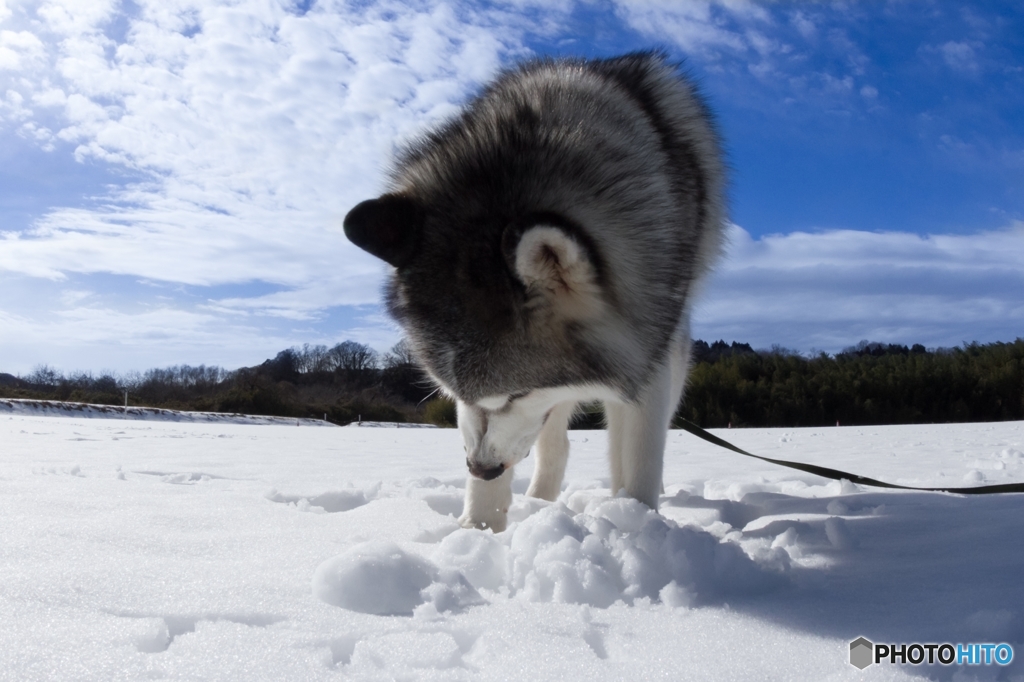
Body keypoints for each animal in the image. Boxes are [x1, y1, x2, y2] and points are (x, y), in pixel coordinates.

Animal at [346, 51, 729, 532]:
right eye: (453, 393)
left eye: (516, 395)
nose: (482, 468)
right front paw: (477, 534)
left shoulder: (647, 353)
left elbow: (640, 457)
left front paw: (640, 526)